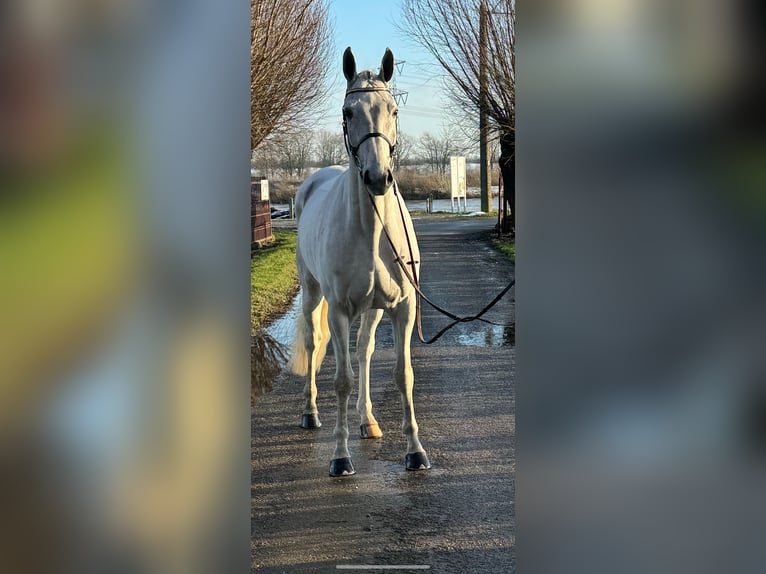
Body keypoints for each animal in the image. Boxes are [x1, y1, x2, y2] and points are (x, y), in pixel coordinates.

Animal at [290, 46, 432, 476]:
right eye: (348, 112)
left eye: (393, 110)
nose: (377, 178)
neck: (372, 233)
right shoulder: (338, 311)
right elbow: (342, 380)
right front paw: (340, 457)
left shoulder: (403, 307)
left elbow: (403, 375)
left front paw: (415, 452)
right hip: (312, 292)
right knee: (313, 342)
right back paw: (311, 413)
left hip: (373, 309)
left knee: (364, 350)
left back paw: (368, 420)